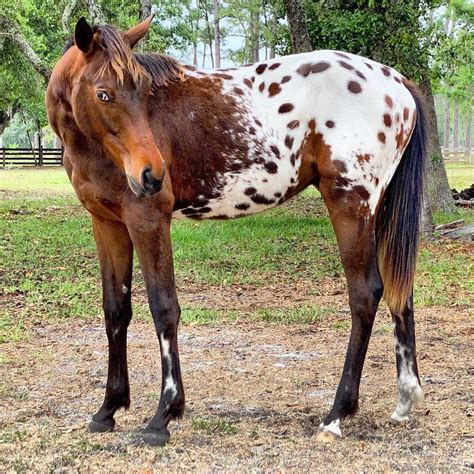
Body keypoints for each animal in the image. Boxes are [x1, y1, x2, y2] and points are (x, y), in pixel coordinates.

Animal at [46, 14, 428, 444]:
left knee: (365, 294)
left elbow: (163, 308)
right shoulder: (108, 223)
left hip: (350, 206)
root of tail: (397, 82)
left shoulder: (147, 220)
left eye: (142, 90)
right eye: (104, 94)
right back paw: (404, 399)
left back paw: (336, 415)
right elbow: (116, 310)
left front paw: (164, 414)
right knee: (399, 289)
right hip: (375, 211)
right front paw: (108, 409)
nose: (152, 175)